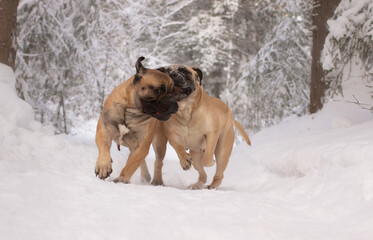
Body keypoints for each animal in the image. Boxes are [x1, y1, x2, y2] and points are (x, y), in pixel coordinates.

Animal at [95, 56, 178, 184]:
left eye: (174, 92)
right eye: (158, 90)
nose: (172, 100)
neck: (131, 110)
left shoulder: (141, 145)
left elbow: (132, 164)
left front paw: (122, 178)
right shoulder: (105, 130)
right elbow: (104, 147)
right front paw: (103, 166)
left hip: (158, 143)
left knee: (157, 162)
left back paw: (156, 181)